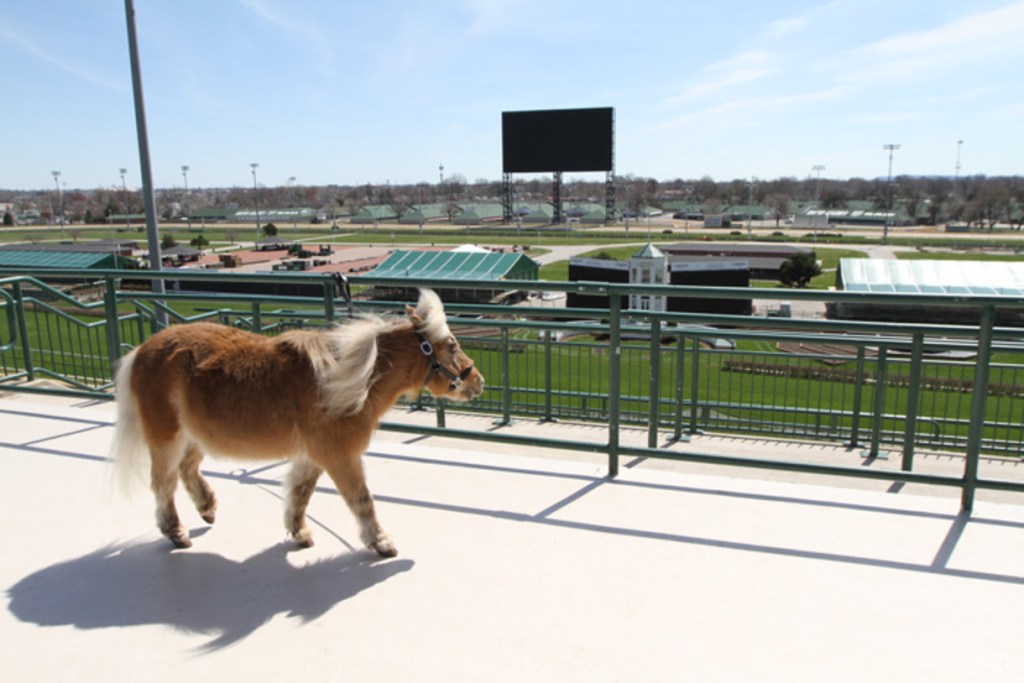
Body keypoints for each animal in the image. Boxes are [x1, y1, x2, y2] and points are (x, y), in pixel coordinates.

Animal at [110, 288, 485, 557]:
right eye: (452, 345)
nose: (477, 380)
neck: (351, 381)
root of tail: (141, 351)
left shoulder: (313, 456)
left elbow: (300, 493)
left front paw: (299, 532)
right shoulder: (339, 456)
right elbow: (361, 499)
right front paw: (380, 542)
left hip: (193, 436)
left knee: (187, 469)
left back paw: (207, 507)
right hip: (167, 438)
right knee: (163, 483)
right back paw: (176, 531)